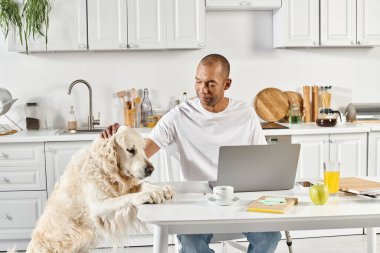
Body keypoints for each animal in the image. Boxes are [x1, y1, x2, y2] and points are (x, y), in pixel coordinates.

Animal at [10, 127, 174, 253]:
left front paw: (161, 189)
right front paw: (149, 194)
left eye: (143, 148)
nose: (151, 169)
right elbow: (125, 198)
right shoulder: (98, 207)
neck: (104, 168)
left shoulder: (125, 186)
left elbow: (142, 184)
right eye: (130, 150)